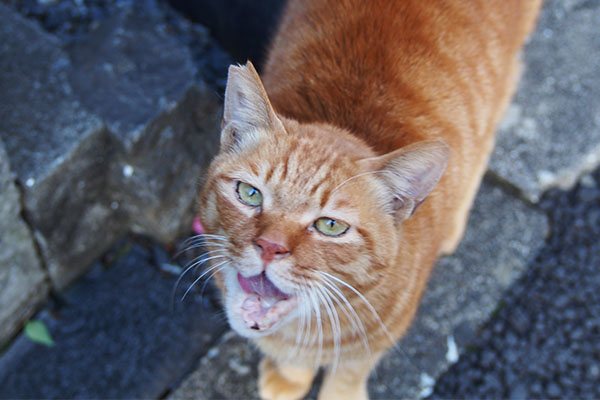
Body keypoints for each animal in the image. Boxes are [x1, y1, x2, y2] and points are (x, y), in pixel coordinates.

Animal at [199, 1, 540, 398]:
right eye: (250, 194)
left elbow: (349, 370)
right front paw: (290, 377)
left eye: (330, 226)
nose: (269, 247)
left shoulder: (379, 337)